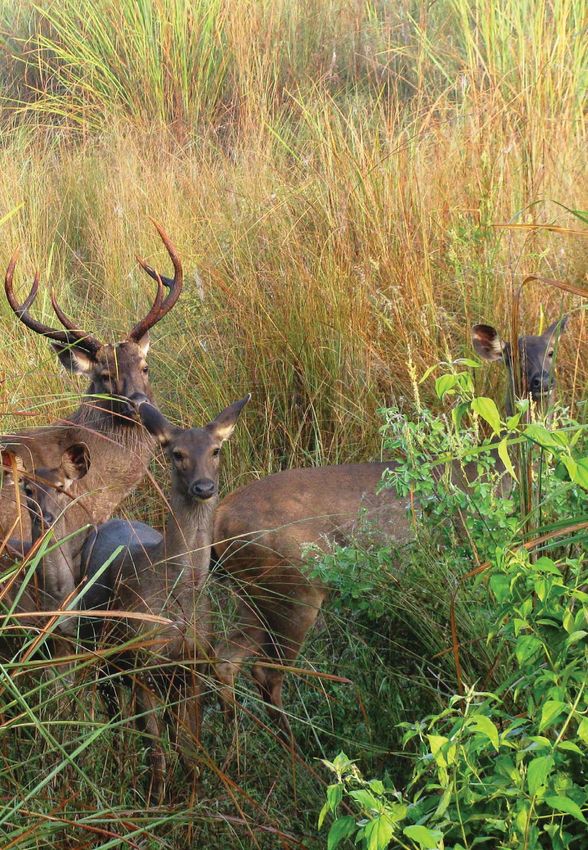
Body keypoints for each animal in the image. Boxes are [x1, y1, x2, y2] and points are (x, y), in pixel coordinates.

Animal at [76, 396, 250, 803]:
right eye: (176, 453)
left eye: (216, 450)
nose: (204, 486)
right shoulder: (141, 665)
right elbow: (156, 751)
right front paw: (155, 802)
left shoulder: (194, 668)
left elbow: (191, 745)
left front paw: (192, 799)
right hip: (98, 651)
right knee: (115, 718)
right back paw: (120, 768)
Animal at [212, 317, 569, 735]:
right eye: (513, 355)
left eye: (551, 350)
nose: (540, 381)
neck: (496, 472)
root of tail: (219, 516)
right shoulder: (471, 560)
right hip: (294, 587)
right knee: (266, 672)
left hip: (251, 594)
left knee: (226, 658)